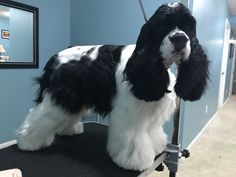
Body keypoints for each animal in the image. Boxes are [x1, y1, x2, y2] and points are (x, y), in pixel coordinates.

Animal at [16, 2, 208, 171]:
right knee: (39, 115)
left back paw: (68, 130)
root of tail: (56, 56)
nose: (180, 38)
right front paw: (133, 162)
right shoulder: (130, 115)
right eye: (163, 25)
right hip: (59, 95)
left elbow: (152, 134)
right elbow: (134, 140)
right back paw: (27, 141)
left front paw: (156, 147)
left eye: (188, 27)